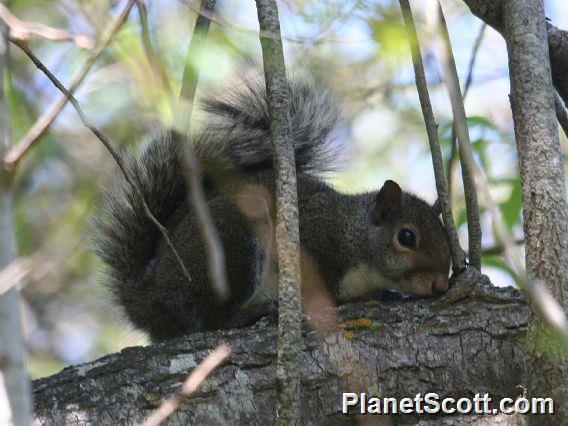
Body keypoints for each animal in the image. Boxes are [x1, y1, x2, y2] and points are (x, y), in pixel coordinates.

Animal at [94, 77, 452, 342]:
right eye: (406, 237)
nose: (440, 286)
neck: (352, 231)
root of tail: (148, 299)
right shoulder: (311, 241)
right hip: (230, 243)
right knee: (213, 320)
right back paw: (251, 312)